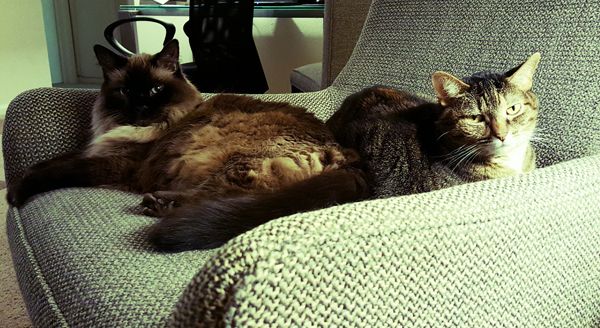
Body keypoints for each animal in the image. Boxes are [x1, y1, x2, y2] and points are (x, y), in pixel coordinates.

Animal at [7, 39, 368, 250]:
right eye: (125, 91)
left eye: (155, 90)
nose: (140, 108)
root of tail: (347, 158)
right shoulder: (100, 149)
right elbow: (50, 162)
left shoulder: (117, 164)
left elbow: (56, 170)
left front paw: (13, 194)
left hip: (231, 163)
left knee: (227, 198)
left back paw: (157, 205)